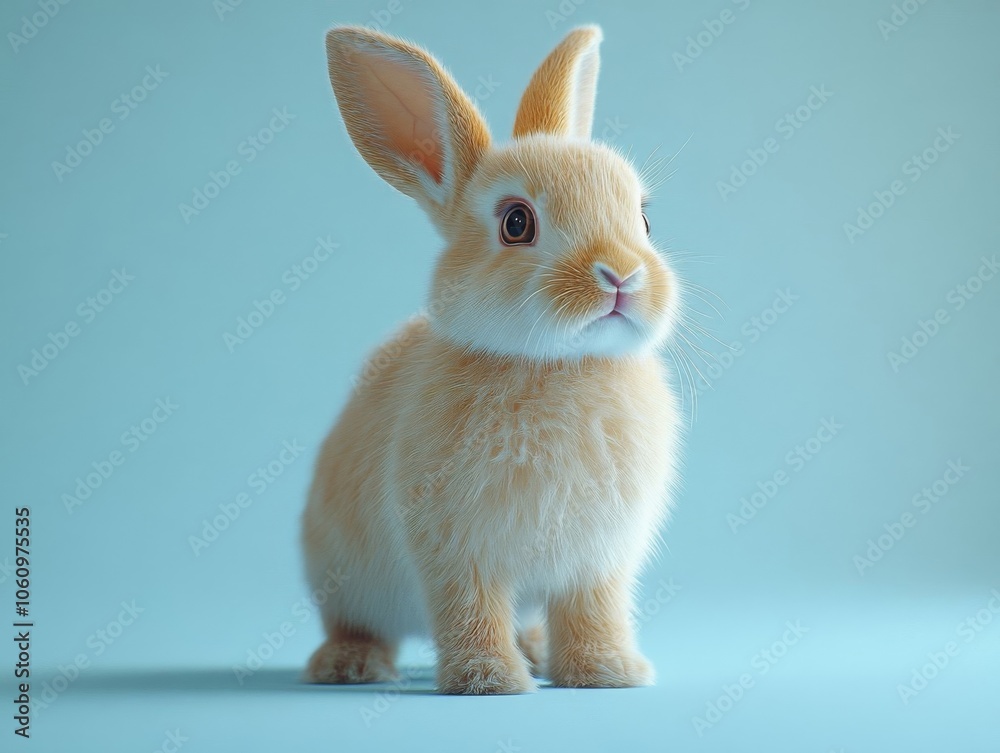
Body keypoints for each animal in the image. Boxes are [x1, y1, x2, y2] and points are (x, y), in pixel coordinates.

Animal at [301, 23, 681, 695]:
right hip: (345, 579)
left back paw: (537, 652)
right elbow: (469, 610)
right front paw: (489, 681)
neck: (559, 366)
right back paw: (351, 665)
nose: (621, 275)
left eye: (642, 218)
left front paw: (609, 673)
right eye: (516, 223)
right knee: (357, 623)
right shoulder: (457, 552)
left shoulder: (597, 561)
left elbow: (594, 611)